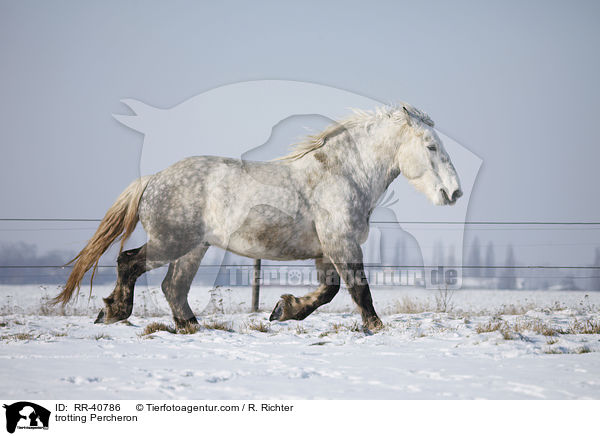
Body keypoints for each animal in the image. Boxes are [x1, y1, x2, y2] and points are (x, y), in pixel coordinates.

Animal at [54, 104, 462, 330]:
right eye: (431, 146)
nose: (454, 192)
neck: (342, 173)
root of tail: (153, 179)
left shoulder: (326, 249)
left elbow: (329, 290)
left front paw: (283, 310)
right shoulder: (341, 242)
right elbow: (358, 287)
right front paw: (376, 327)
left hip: (193, 248)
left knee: (173, 287)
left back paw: (191, 326)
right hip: (171, 242)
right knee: (130, 262)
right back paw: (114, 312)